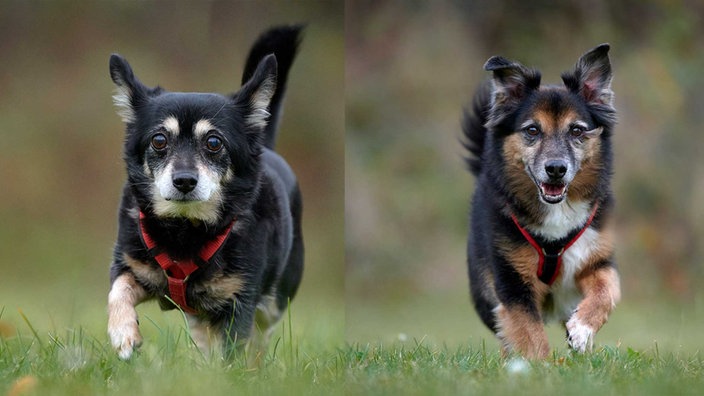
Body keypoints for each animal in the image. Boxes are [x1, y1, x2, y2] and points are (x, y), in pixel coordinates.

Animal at [106, 24, 302, 358]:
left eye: (213, 142)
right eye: (159, 140)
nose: (184, 180)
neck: (184, 230)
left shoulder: (239, 302)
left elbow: (234, 349)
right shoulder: (130, 265)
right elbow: (117, 292)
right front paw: (123, 333)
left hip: (274, 300)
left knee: (260, 335)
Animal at [464, 44, 620, 358]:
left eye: (577, 130)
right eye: (532, 130)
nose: (556, 169)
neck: (556, 211)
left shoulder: (596, 258)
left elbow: (607, 291)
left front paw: (582, 330)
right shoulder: (512, 281)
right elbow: (528, 332)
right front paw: (537, 365)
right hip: (484, 292)